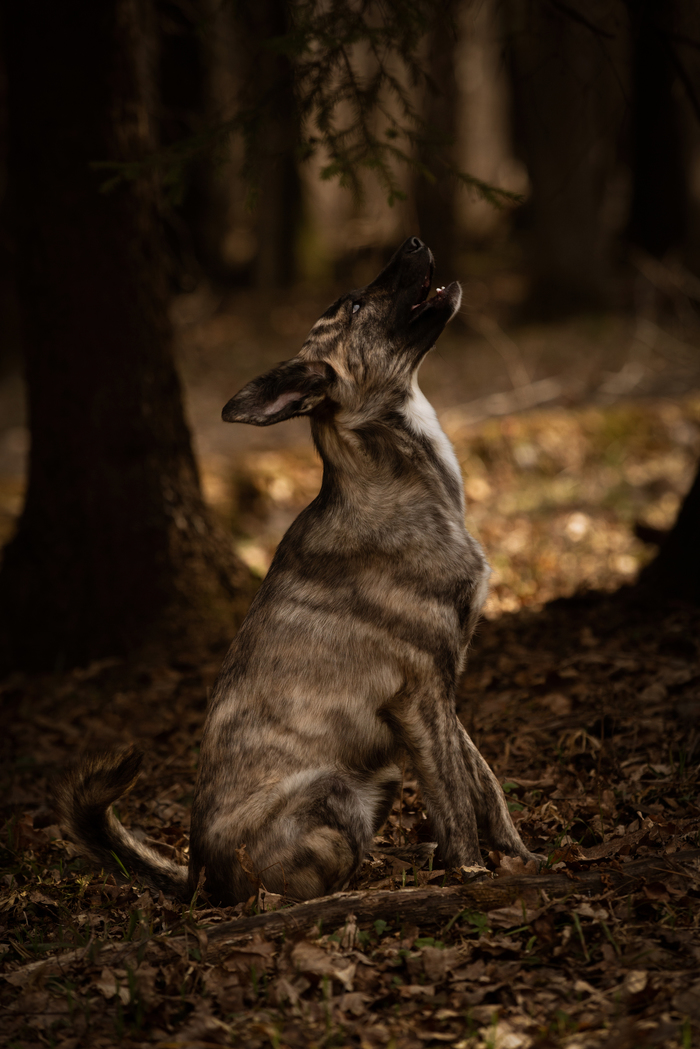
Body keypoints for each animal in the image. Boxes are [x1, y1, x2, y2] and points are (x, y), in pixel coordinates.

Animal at [57, 236, 541, 902]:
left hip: (381, 774)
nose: (414, 241)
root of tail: (197, 877)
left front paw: (520, 859)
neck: (390, 476)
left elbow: (484, 784)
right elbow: (455, 803)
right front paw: (469, 874)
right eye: (355, 304)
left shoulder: (442, 695)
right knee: (299, 888)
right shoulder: (421, 694)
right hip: (331, 790)